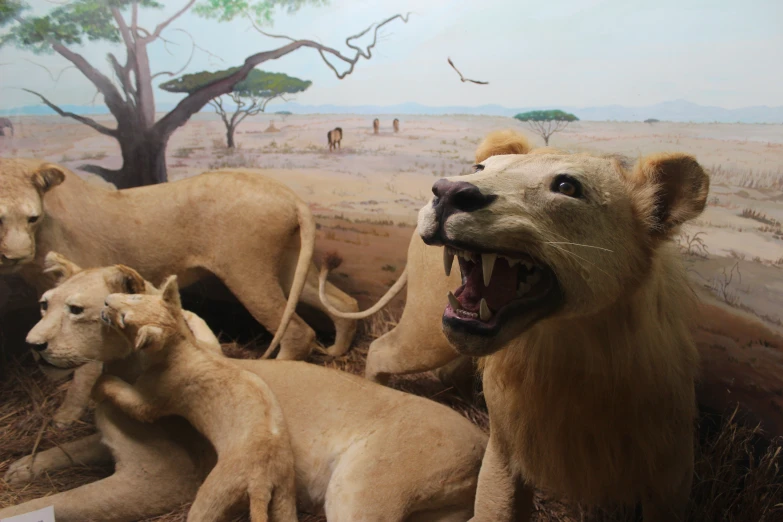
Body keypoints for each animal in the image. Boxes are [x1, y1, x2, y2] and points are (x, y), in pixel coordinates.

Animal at [0, 157, 360, 422]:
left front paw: (66, 416)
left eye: (31, 217)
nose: (14, 256)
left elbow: (87, 366)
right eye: (1, 219)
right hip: (289, 264)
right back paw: (336, 350)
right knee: (345, 301)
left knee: (298, 331)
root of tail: (290, 195)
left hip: (247, 271)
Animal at [1, 254, 490, 516]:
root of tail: (480, 442)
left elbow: (61, 503)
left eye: (78, 310)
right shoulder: (109, 444)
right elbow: (66, 449)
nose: (33, 345)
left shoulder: (160, 480)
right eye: (44, 304)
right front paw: (20, 467)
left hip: (359, 488)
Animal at [322, 128, 708, 516]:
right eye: (479, 168)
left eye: (567, 186)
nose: (446, 191)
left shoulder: (671, 480)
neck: (571, 354)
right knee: (380, 349)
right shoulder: (504, 451)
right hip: (427, 332)